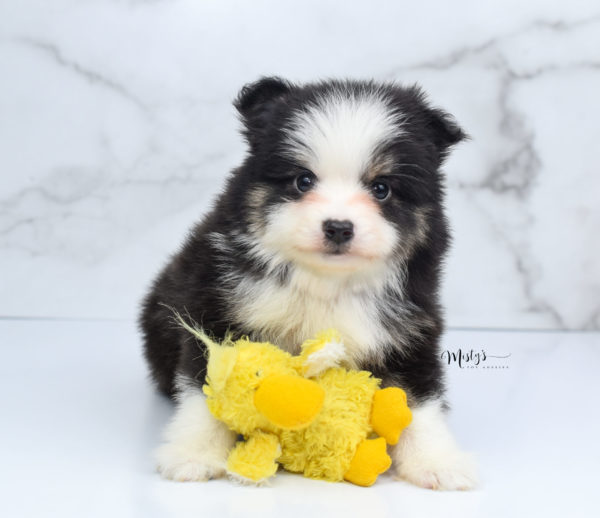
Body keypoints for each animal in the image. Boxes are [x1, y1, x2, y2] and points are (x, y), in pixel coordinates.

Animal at [141, 77, 478, 492]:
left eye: (381, 188)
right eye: (303, 181)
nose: (338, 227)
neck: (325, 283)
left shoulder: (410, 327)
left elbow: (417, 400)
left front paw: (438, 462)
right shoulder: (216, 307)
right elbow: (207, 388)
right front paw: (194, 454)